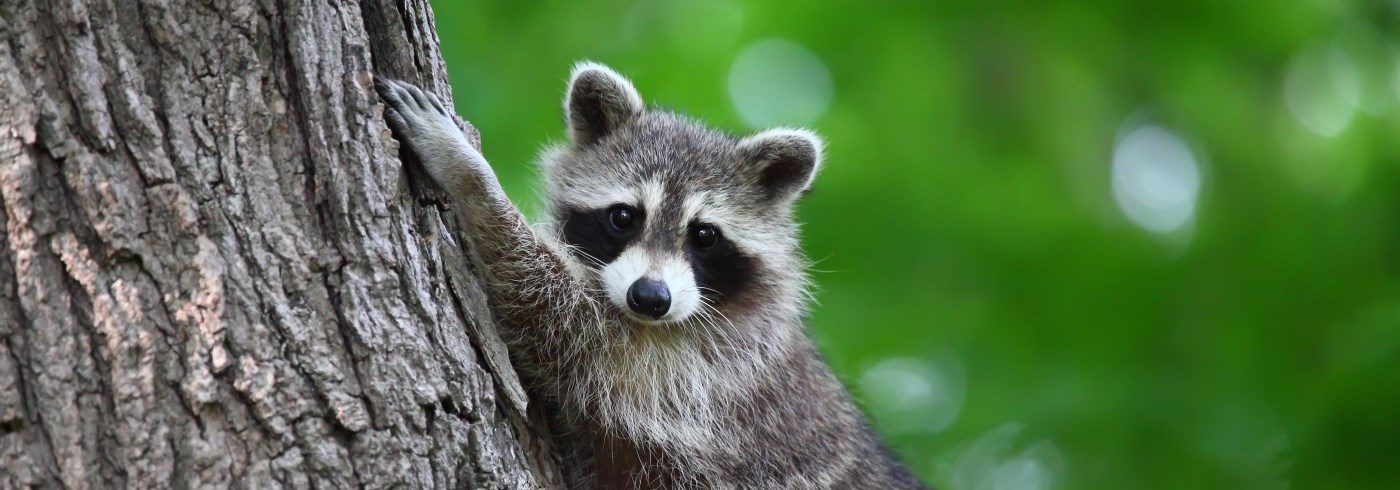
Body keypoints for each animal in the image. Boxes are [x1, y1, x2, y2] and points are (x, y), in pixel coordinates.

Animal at [378, 62, 929, 490]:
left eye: (704, 235)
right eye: (624, 216)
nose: (649, 297)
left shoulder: (701, 374)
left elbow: (553, 309)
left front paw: (471, 174)